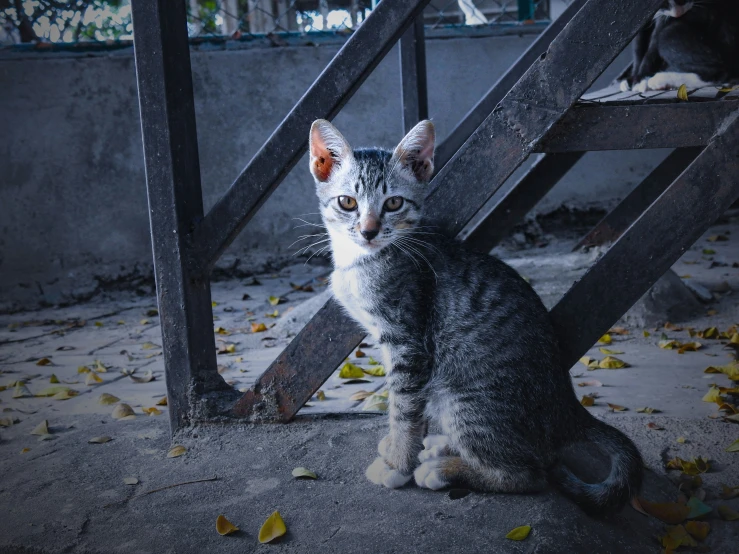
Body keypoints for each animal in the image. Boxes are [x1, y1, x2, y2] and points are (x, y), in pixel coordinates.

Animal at [306, 118, 640, 512]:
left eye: (393, 203)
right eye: (347, 202)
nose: (369, 231)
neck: (362, 260)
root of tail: (568, 408)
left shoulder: (408, 342)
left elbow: (404, 407)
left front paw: (398, 464)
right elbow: (402, 406)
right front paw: (399, 448)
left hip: (465, 398)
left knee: (530, 475)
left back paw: (444, 470)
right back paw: (442, 447)